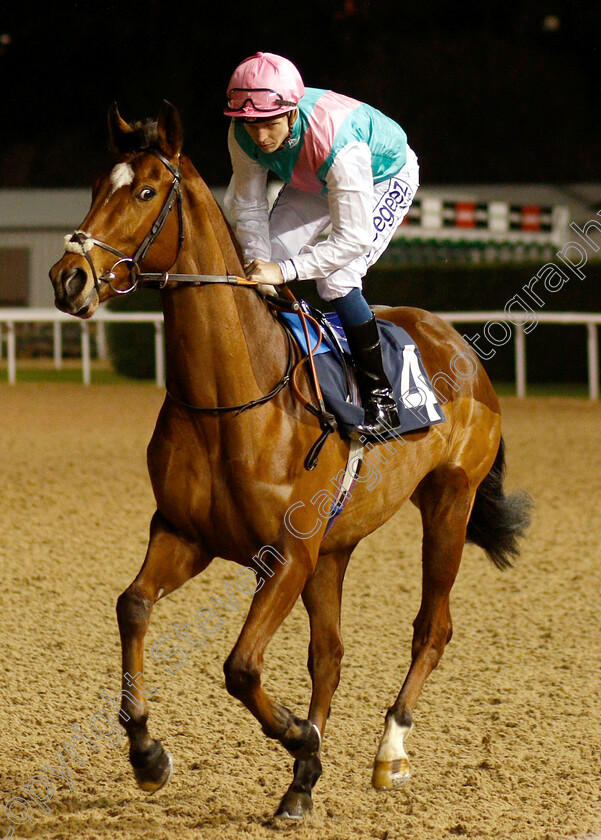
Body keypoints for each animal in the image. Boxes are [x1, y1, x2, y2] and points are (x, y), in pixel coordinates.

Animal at [50, 101, 528, 816]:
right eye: (94, 187)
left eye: (145, 193)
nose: (68, 277)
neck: (230, 399)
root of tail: (461, 346)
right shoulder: (186, 533)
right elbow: (132, 606)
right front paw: (149, 752)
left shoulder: (287, 554)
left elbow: (241, 667)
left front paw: (300, 737)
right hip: (336, 546)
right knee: (329, 652)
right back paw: (302, 783)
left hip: (450, 501)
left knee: (432, 627)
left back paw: (390, 749)